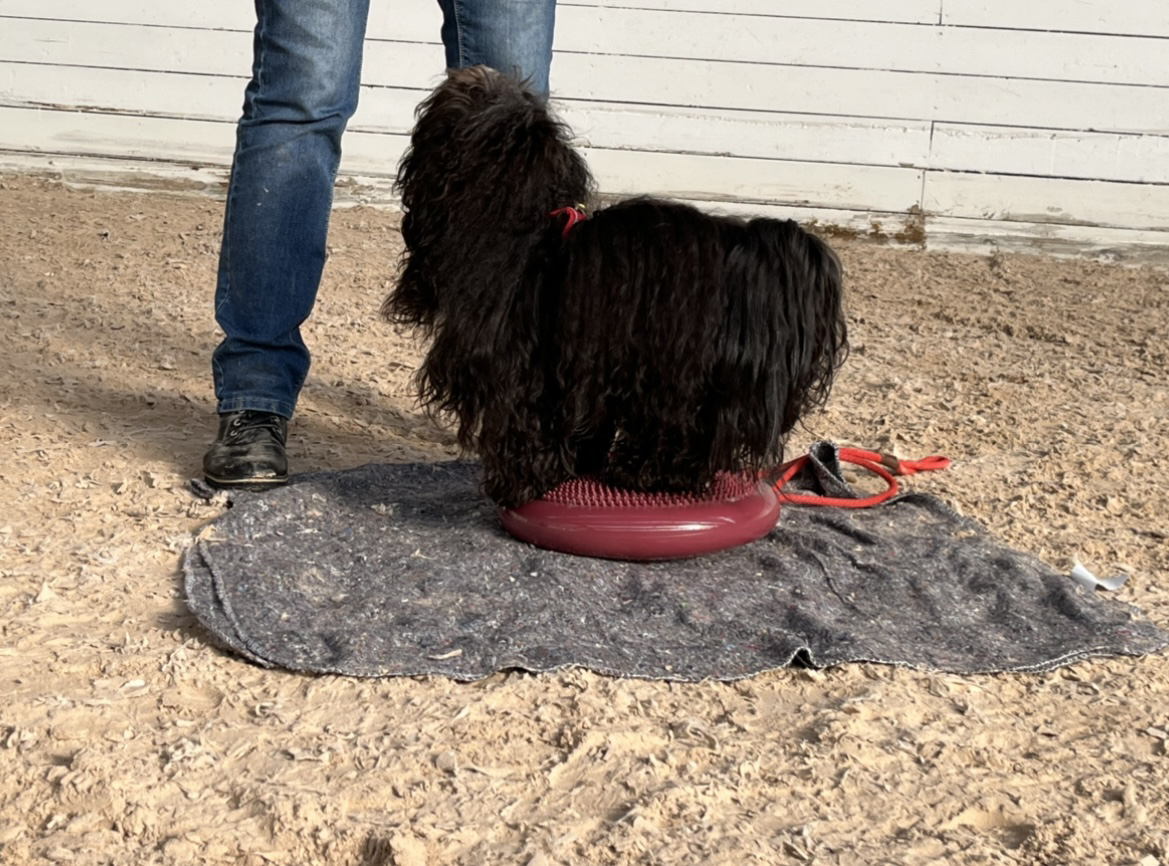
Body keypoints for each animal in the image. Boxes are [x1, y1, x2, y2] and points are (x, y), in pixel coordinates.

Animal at [385, 67, 851, 507]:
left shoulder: (524, 368)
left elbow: (526, 425)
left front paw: (517, 484)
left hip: (674, 372)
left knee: (677, 431)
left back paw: (642, 473)